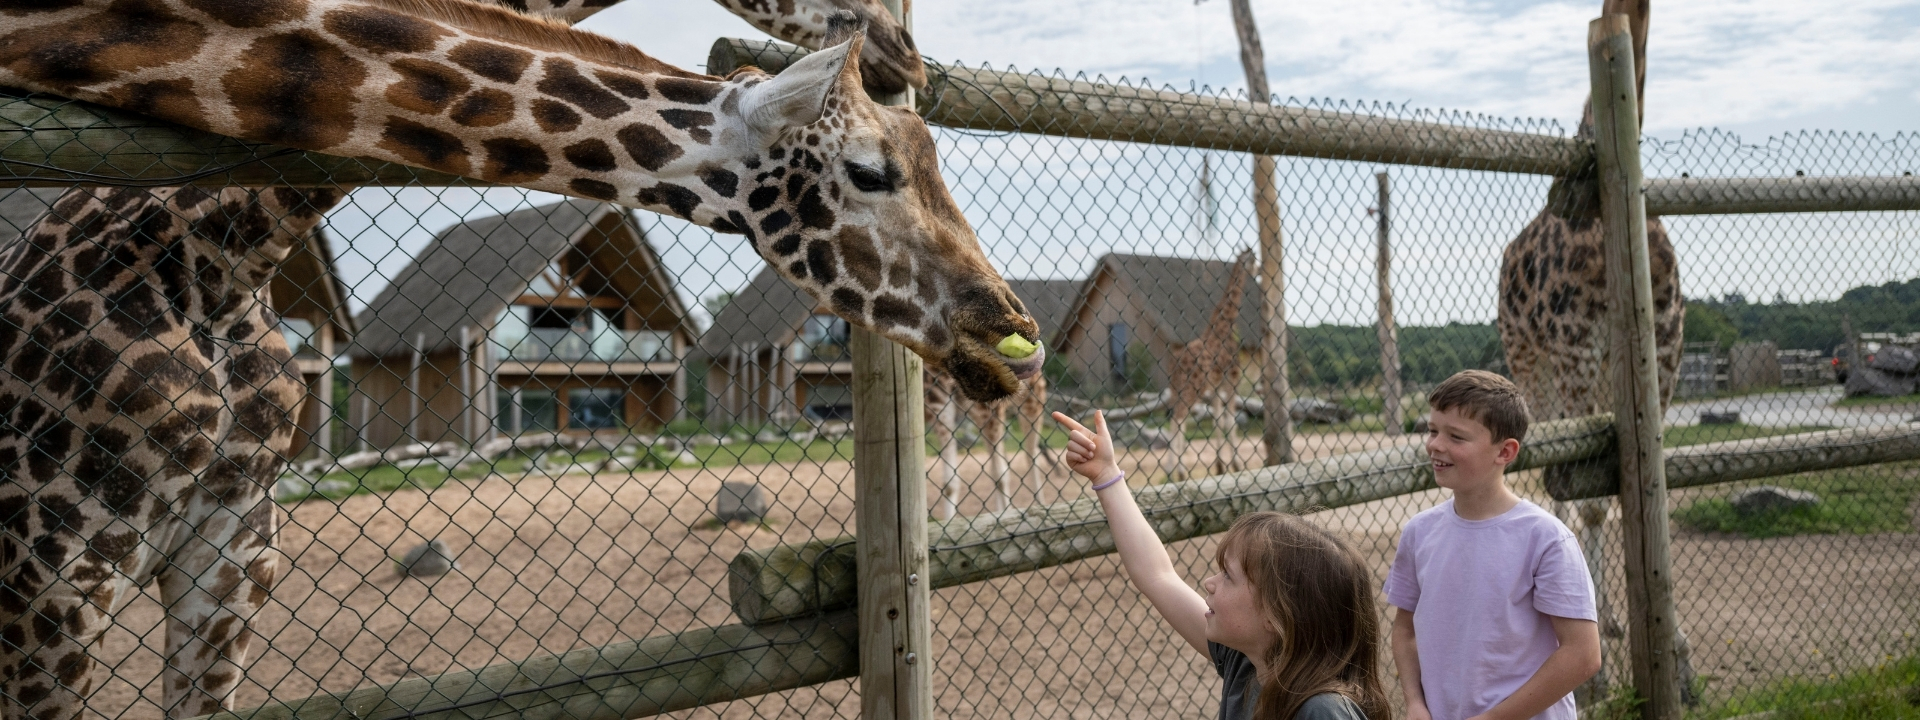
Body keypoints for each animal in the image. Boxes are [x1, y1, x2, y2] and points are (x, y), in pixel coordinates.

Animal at [925, 366, 1059, 518]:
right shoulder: (938, 406)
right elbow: (949, 483)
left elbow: (1001, 474)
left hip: (1031, 399)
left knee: (1031, 456)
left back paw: (1040, 506)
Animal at [1152, 251, 1259, 481]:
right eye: (1253, 259)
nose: (1258, 271)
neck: (1224, 328)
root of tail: (1174, 363)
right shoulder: (1233, 379)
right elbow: (1230, 421)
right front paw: (1236, 465)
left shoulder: (1217, 386)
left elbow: (1219, 420)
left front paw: (1220, 467)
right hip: (1194, 387)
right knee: (1179, 418)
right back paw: (1178, 472)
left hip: (1176, 388)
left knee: (1175, 419)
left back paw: (1173, 471)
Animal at [1489, 0, 1689, 702]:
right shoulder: (1573, 353)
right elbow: (1595, 498)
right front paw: (1598, 673)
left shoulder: (1666, 353)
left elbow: (1646, 487)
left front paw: (1677, 660)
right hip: (1532, 364)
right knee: (1557, 484)